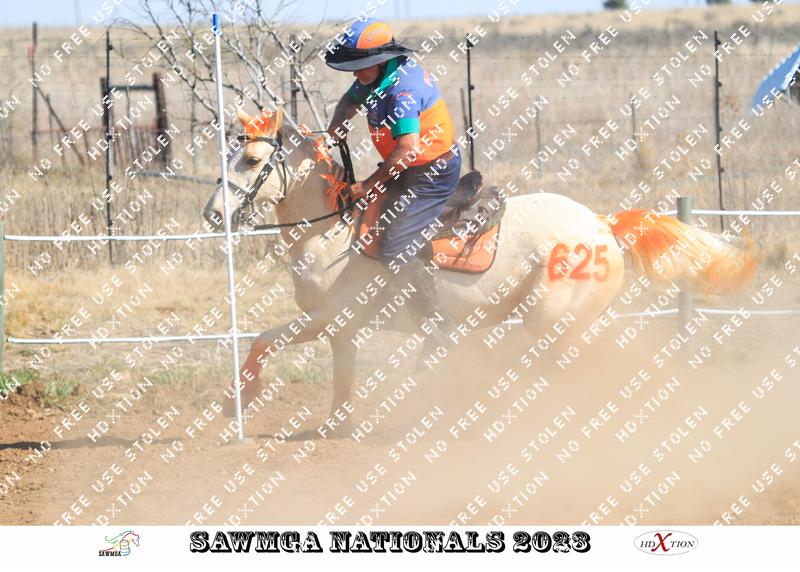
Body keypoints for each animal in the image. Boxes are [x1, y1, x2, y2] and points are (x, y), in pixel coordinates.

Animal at [202, 106, 756, 434]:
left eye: (251, 160)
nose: (213, 214)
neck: (335, 233)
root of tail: (601, 223)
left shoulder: (327, 318)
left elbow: (262, 340)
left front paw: (238, 400)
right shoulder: (342, 330)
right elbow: (338, 383)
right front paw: (333, 427)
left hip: (550, 320)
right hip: (569, 323)